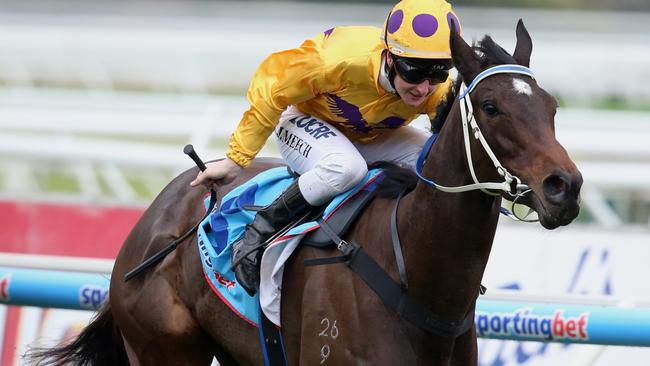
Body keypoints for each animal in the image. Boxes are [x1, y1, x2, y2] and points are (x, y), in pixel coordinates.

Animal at [27, 20, 580, 366]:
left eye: (552, 106)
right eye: (491, 106)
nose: (565, 187)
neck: (417, 278)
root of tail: (156, 215)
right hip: (165, 348)